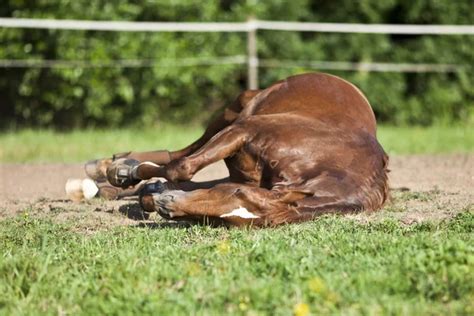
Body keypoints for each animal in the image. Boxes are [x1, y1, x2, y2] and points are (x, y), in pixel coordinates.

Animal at [85, 73, 388, 226]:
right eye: (237, 195)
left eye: (233, 221)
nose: (167, 208)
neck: (326, 160)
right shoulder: (244, 131)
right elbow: (182, 167)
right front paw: (129, 174)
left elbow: (182, 181)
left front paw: (152, 194)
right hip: (235, 111)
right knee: (184, 153)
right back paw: (113, 168)